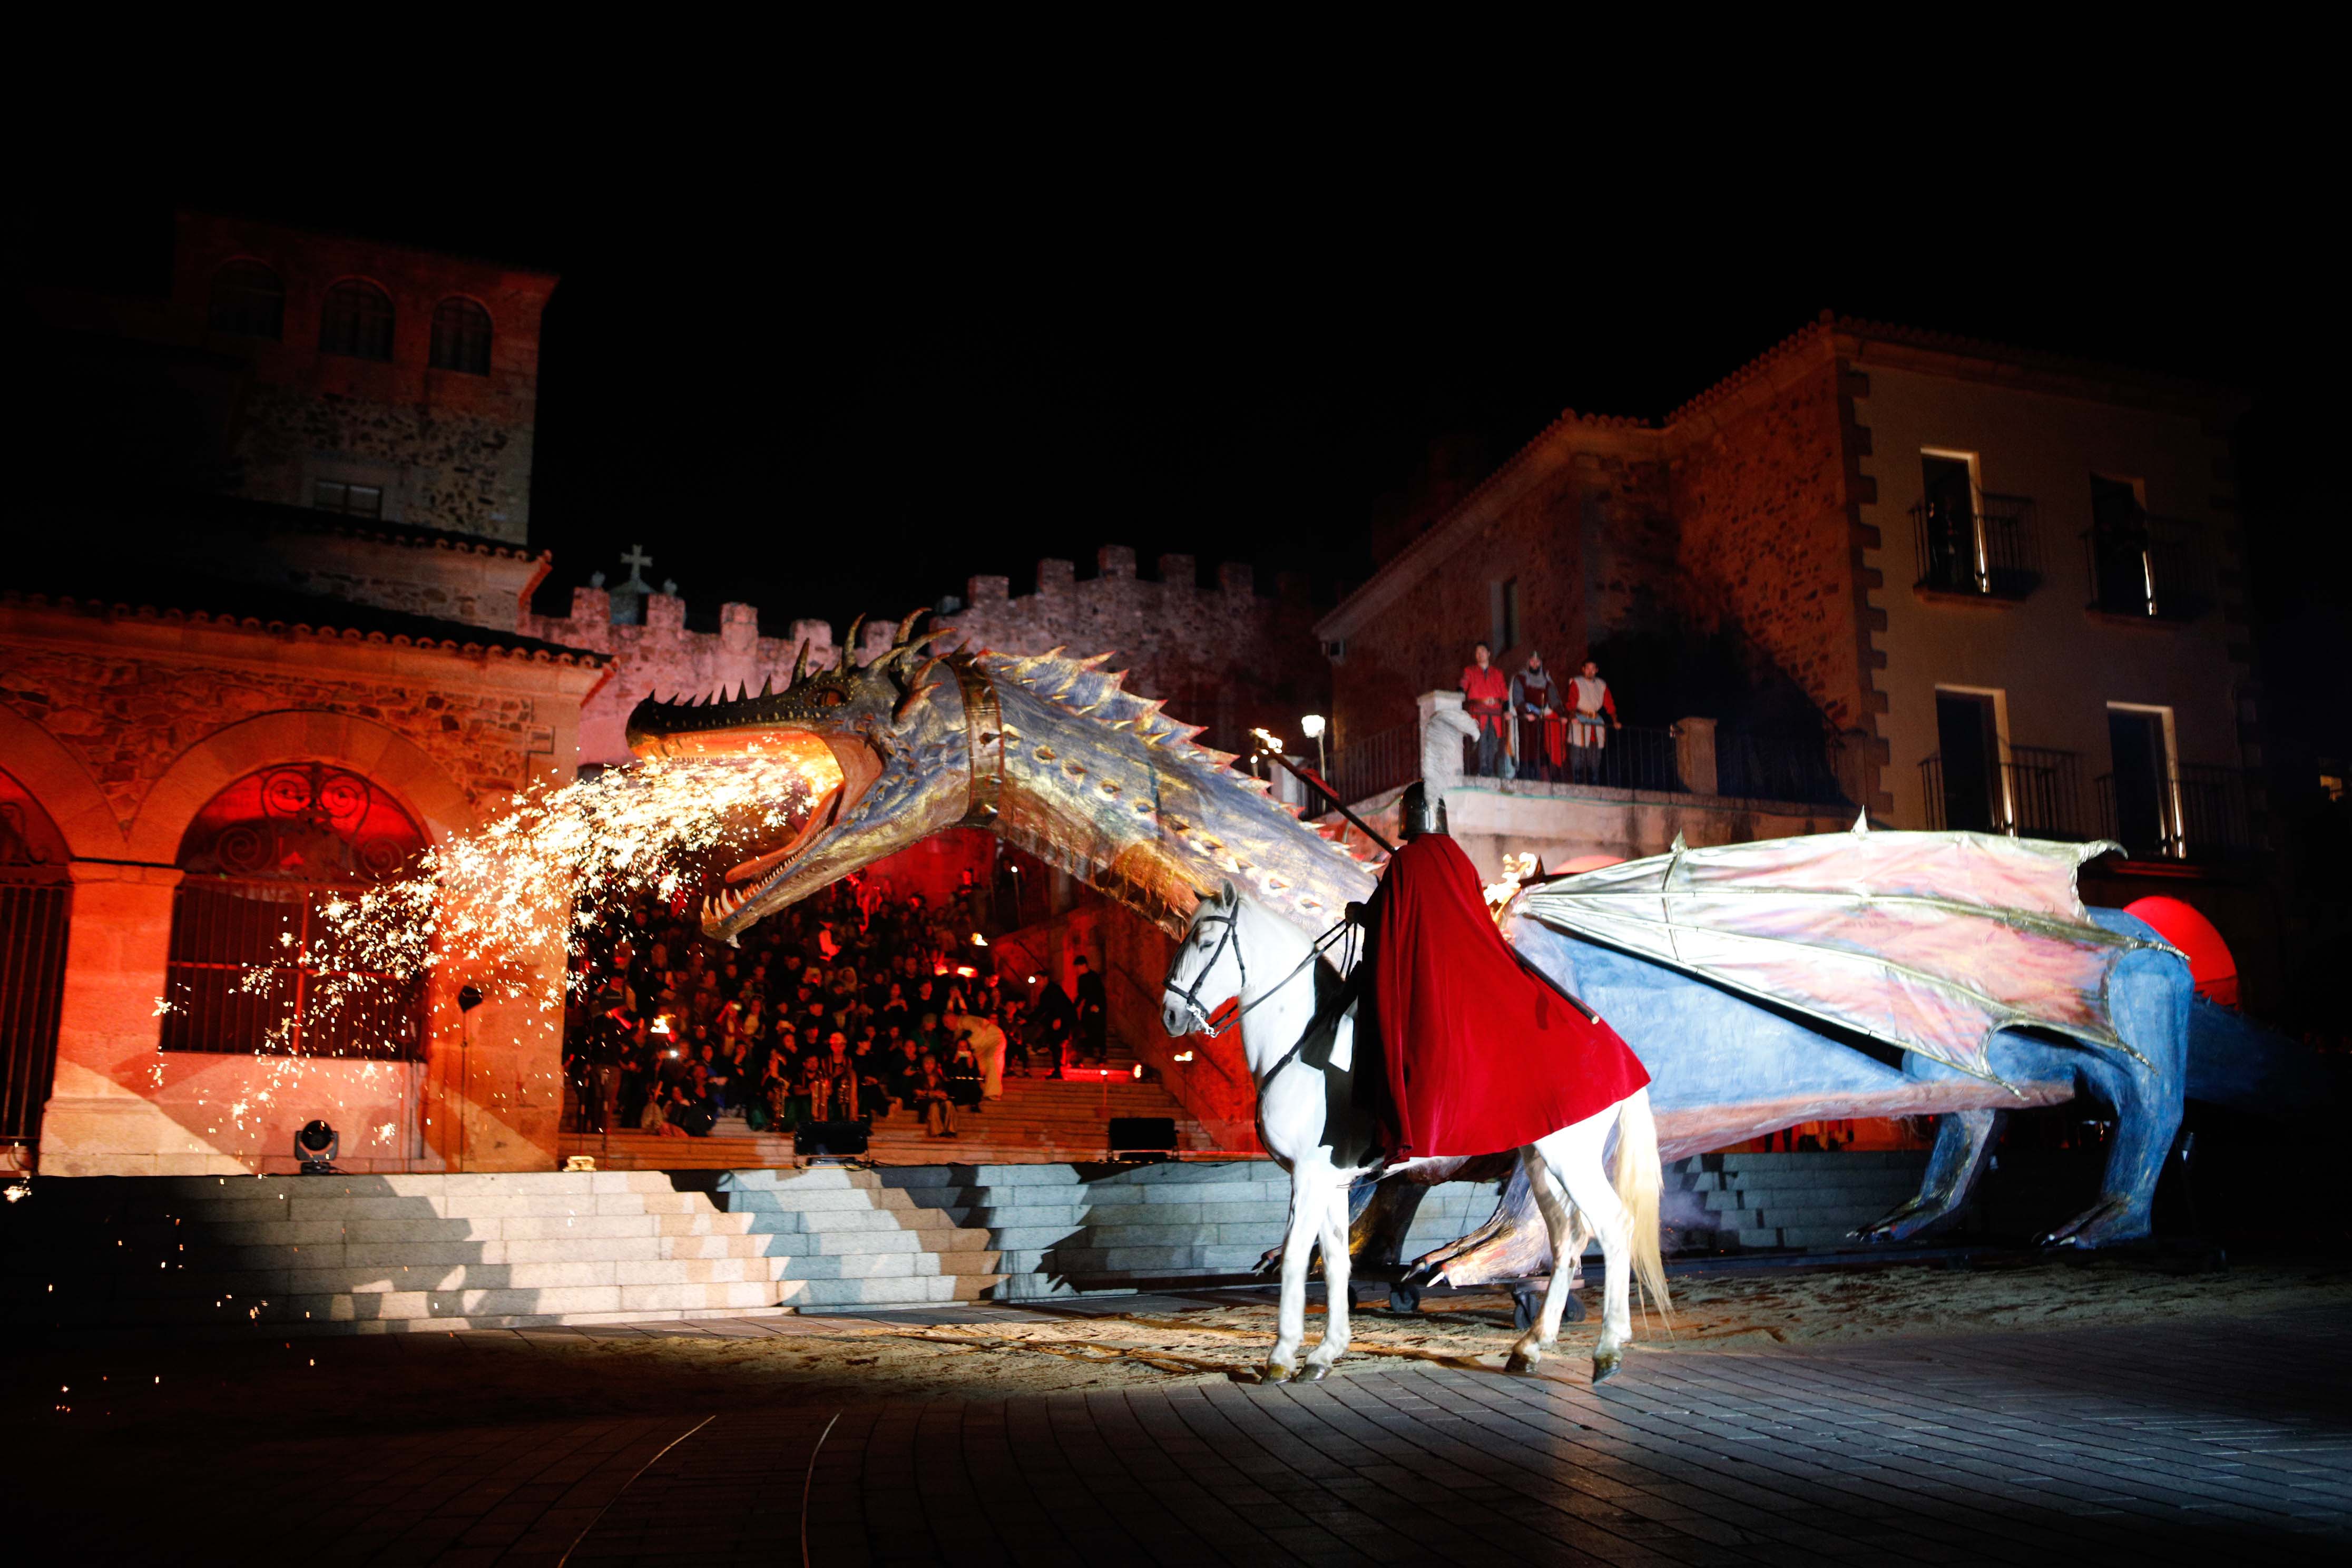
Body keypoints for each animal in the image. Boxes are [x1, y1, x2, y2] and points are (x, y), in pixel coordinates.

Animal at [1162, 884, 1674, 1382]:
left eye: (1205, 942)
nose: (1170, 1014)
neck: (1305, 1040)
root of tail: (1619, 1052)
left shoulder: (1307, 1177)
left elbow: (1295, 1257)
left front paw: (1281, 1357)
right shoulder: (1331, 1181)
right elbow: (1335, 1260)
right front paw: (1326, 1353)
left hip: (1571, 1161)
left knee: (1611, 1227)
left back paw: (1607, 1351)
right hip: (1541, 1167)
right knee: (1567, 1240)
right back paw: (1530, 1348)